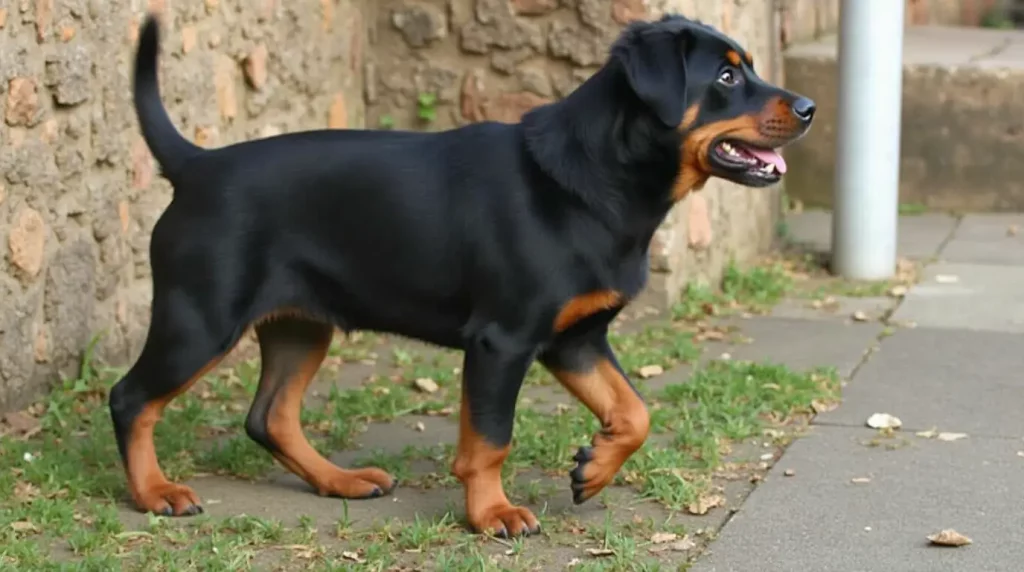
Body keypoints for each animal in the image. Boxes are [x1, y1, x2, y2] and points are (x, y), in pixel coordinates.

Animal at [110, 13, 815, 540]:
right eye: (726, 75)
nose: (809, 107)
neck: (606, 181)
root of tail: (195, 165)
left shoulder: (575, 338)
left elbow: (634, 409)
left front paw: (593, 469)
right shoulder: (503, 341)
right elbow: (490, 438)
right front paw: (493, 514)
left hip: (301, 323)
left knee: (270, 417)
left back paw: (339, 481)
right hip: (200, 318)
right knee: (131, 398)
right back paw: (154, 493)